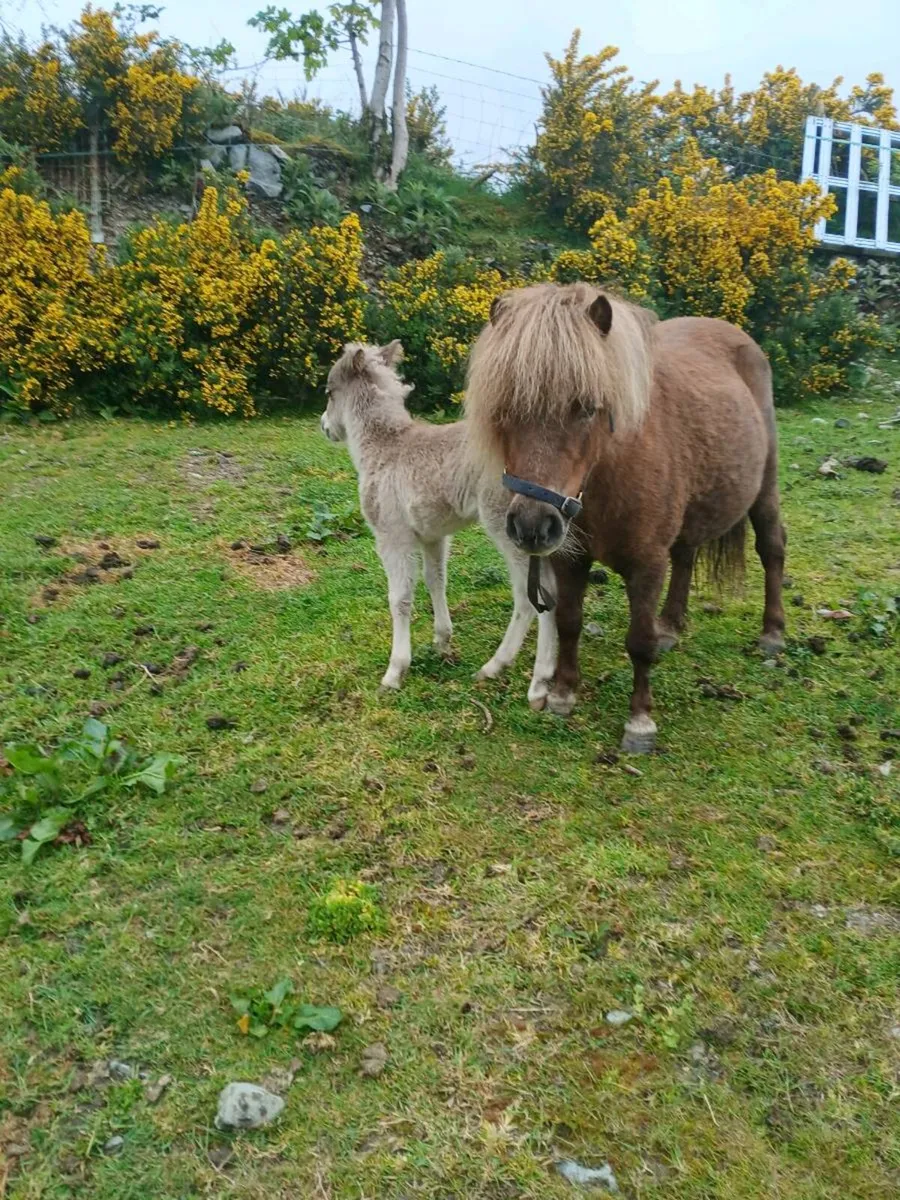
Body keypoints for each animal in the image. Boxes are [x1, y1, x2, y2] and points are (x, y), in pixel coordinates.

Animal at [321, 340, 558, 699]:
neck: (384, 448)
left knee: (532, 596)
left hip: (512, 528)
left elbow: (400, 598)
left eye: (329, 391)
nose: (325, 427)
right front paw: (442, 642)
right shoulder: (434, 534)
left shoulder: (392, 536)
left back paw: (520, 675)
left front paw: (394, 672)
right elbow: (436, 580)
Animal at [464, 282, 786, 753]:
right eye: (504, 409)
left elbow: (638, 642)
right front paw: (563, 695)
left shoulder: (646, 564)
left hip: (764, 487)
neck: (607, 477)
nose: (531, 526)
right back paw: (671, 626)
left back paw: (772, 633)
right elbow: (569, 622)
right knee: (686, 555)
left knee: (771, 547)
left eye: (585, 408)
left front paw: (639, 722)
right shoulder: (568, 559)